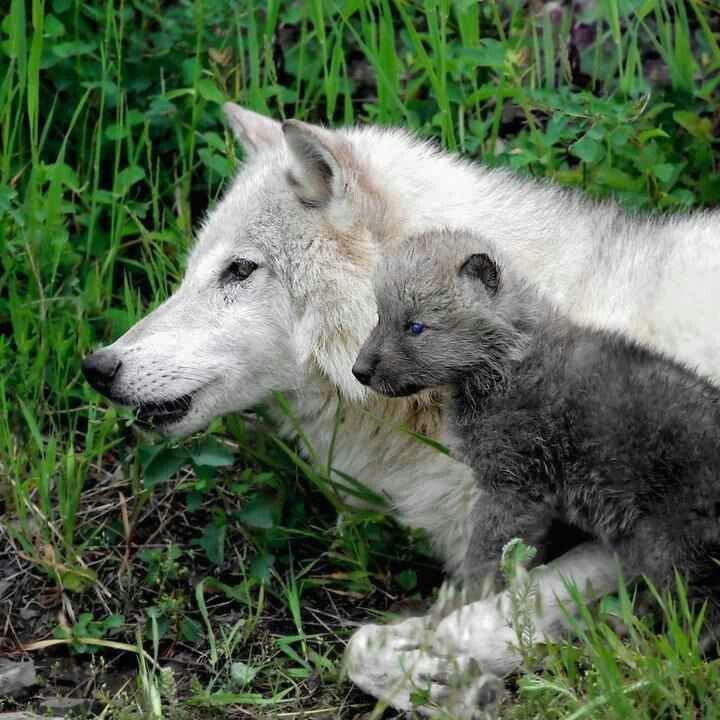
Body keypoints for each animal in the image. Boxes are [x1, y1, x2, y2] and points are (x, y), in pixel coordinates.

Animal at [81, 105, 720, 716]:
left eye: (239, 270)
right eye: (191, 273)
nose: (99, 366)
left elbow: (463, 621)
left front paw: (447, 675)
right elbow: (373, 644)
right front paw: (451, 685)